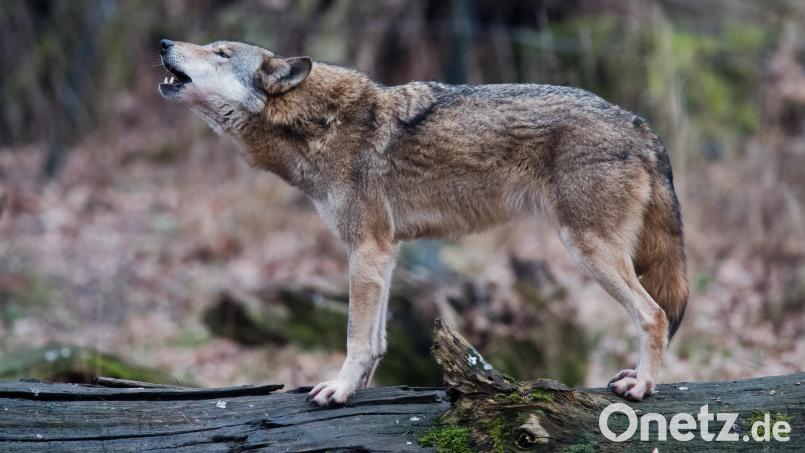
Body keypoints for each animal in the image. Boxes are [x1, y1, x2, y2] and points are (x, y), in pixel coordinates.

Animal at [158, 39, 688, 406]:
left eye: (221, 53)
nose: (163, 44)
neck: (318, 123)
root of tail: (639, 123)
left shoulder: (366, 250)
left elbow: (355, 337)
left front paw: (339, 390)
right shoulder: (384, 252)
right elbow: (376, 340)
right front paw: (361, 389)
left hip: (588, 249)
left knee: (655, 315)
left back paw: (642, 385)